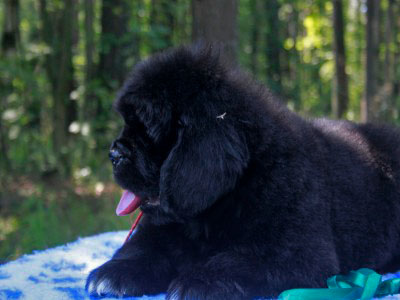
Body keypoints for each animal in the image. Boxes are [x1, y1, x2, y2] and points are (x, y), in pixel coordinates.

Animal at [84, 45, 400, 300]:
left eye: (148, 130)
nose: (113, 154)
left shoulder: (293, 252)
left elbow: (235, 260)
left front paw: (199, 282)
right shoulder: (162, 228)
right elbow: (143, 246)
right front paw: (114, 272)